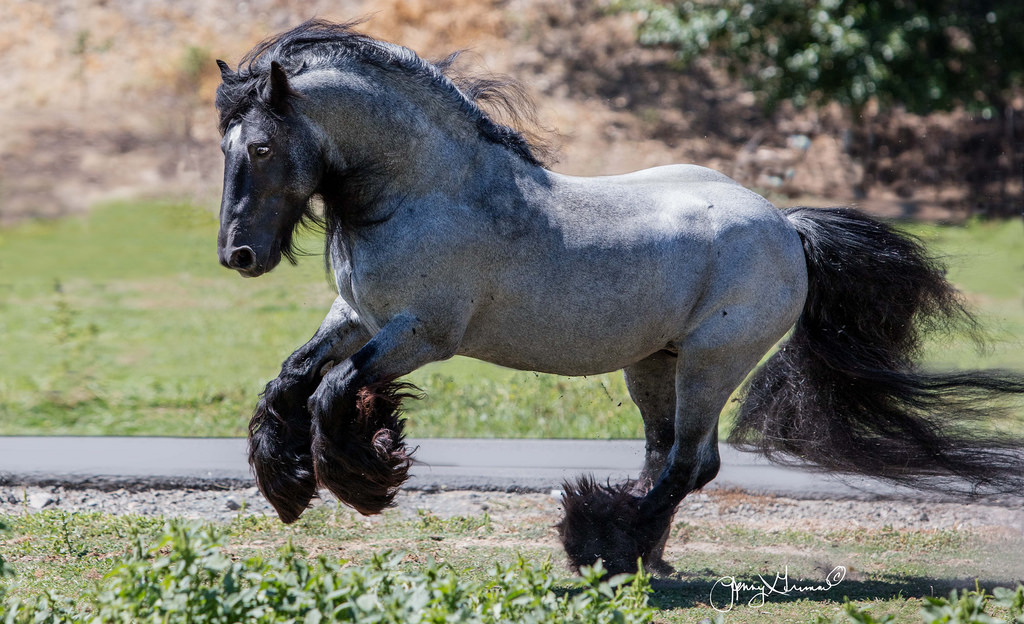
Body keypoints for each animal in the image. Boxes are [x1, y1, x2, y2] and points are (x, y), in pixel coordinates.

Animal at [214, 19, 1024, 573]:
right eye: (225, 148)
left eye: (260, 147)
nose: (238, 256)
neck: (425, 189)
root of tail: (784, 225)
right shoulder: (357, 319)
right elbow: (289, 379)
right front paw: (287, 483)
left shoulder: (420, 335)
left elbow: (330, 394)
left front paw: (364, 477)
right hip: (653, 363)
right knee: (668, 455)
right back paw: (640, 553)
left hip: (711, 363)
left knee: (690, 464)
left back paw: (602, 541)